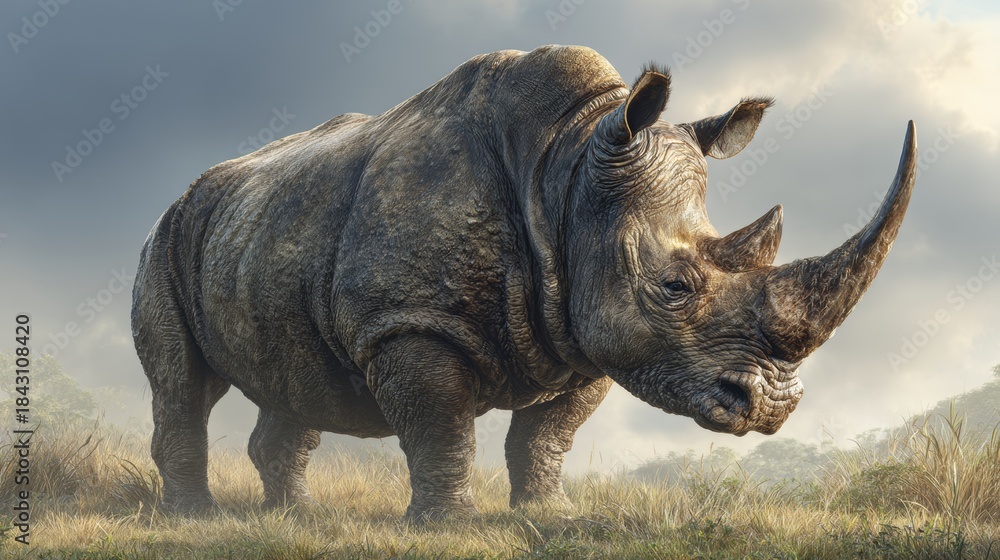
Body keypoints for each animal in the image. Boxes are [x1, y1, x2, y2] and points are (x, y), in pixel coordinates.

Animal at [132, 45, 916, 520]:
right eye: (675, 287)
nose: (773, 406)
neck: (565, 171)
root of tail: (190, 191)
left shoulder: (590, 329)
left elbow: (545, 435)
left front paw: (548, 514)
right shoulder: (410, 321)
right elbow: (440, 426)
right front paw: (446, 527)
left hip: (259, 230)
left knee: (295, 378)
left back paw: (293, 516)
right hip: (166, 237)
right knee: (184, 383)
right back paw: (197, 517)